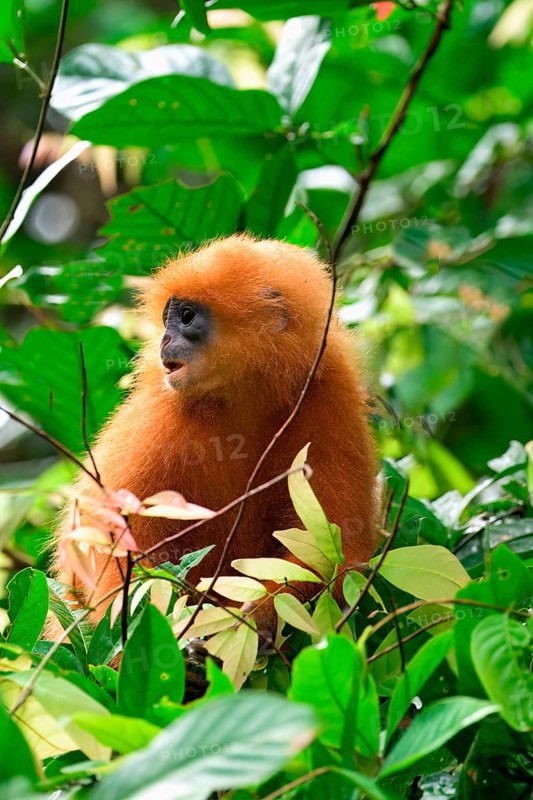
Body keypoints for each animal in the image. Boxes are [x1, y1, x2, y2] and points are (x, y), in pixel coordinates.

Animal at [51, 234, 378, 641]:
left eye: (187, 317)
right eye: (167, 319)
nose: (165, 339)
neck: (243, 398)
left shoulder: (329, 392)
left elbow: (335, 549)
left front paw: (260, 615)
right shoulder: (157, 417)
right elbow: (115, 553)